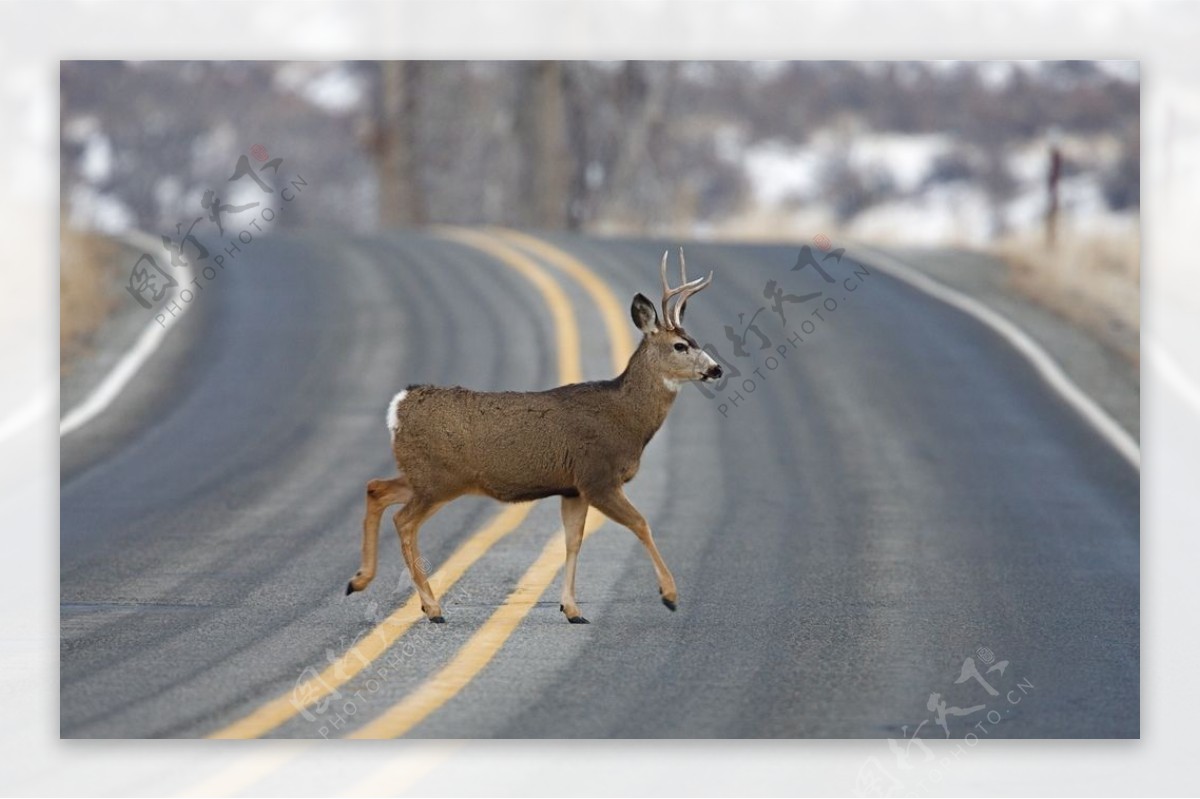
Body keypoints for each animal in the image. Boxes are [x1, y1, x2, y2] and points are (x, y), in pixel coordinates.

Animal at [348, 249, 720, 623]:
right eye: (680, 346)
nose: (716, 369)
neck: (627, 418)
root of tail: (399, 405)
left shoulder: (573, 489)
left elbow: (573, 541)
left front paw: (571, 609)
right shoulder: (597, 477)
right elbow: (641, 523)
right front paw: (669, 594)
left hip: (423, 474)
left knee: (376, 488)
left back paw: (359, 581)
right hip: (439, 479)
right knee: (404, 520)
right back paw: (432, 606)